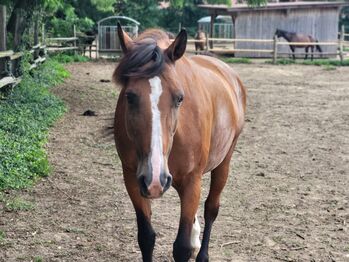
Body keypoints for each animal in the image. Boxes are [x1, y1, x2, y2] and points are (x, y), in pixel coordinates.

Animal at [113, 23, 243, 262]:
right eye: (130, 96)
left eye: (179, 98)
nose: (155, 179)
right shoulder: (133, 179)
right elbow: (146, 237)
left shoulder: (192, 181)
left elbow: (181, 247)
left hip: (224, 162)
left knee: (211, 208)